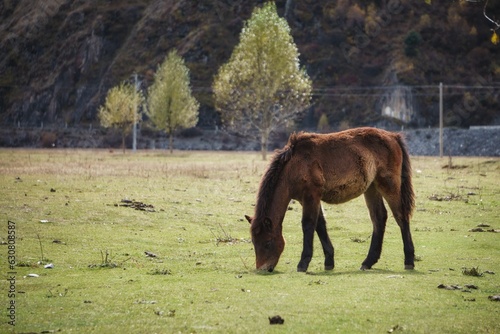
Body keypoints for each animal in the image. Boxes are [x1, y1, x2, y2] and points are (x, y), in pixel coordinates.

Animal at [245, 127, 414, 272]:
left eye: (267, 243)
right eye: (253, 242)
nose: (263, 268)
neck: (294, 165)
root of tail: (393, 136)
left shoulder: (311, 195)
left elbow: (308, 225)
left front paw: (303, 263)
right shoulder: (307, 199)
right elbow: (320, 225)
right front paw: (329, 261)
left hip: (388, 185)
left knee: (400, 216)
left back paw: (409, 261)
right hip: (372, 188)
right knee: (379, 218)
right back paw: (368, 262)